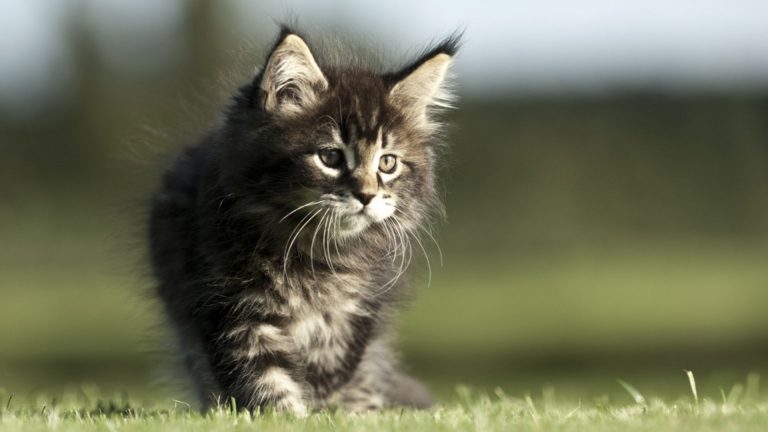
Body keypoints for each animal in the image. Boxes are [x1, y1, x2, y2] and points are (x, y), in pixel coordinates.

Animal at [149, 26, 460, 416]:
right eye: (330, 157)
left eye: (388, 163)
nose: (367, 195)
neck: (313, 253)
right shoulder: (233, 306)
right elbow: (264, 377)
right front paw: (287, 416)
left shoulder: (354, 314)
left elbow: (333, 373)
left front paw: (331, 414)